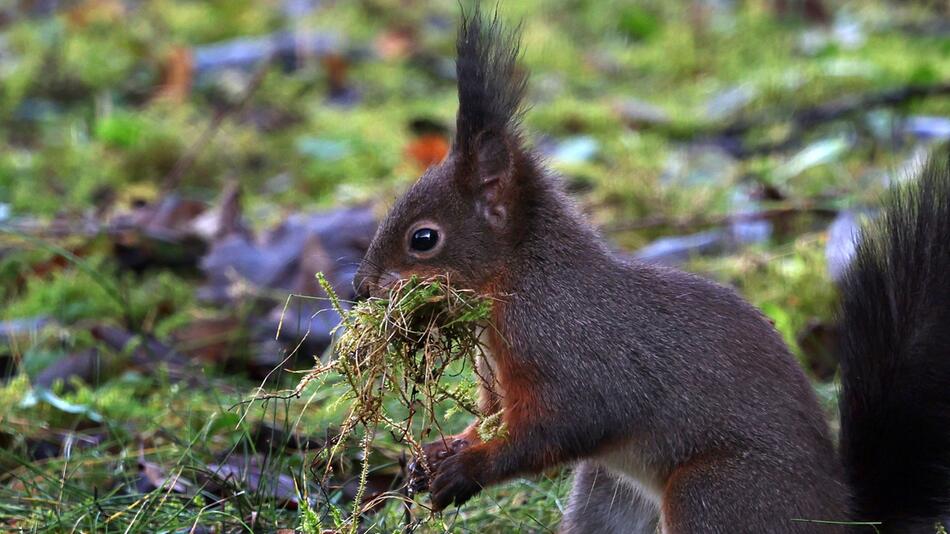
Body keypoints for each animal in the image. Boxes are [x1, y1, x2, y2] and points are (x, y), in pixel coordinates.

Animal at [352, 5, 950, 534]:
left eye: (423, 239)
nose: (360, 287)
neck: (522, 282)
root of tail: (839, 518)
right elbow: (489, 419)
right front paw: (433, 454)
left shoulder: (575, 355)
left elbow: (562, 425)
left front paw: (465, 470)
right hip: (606, 491)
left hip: (715, 494)